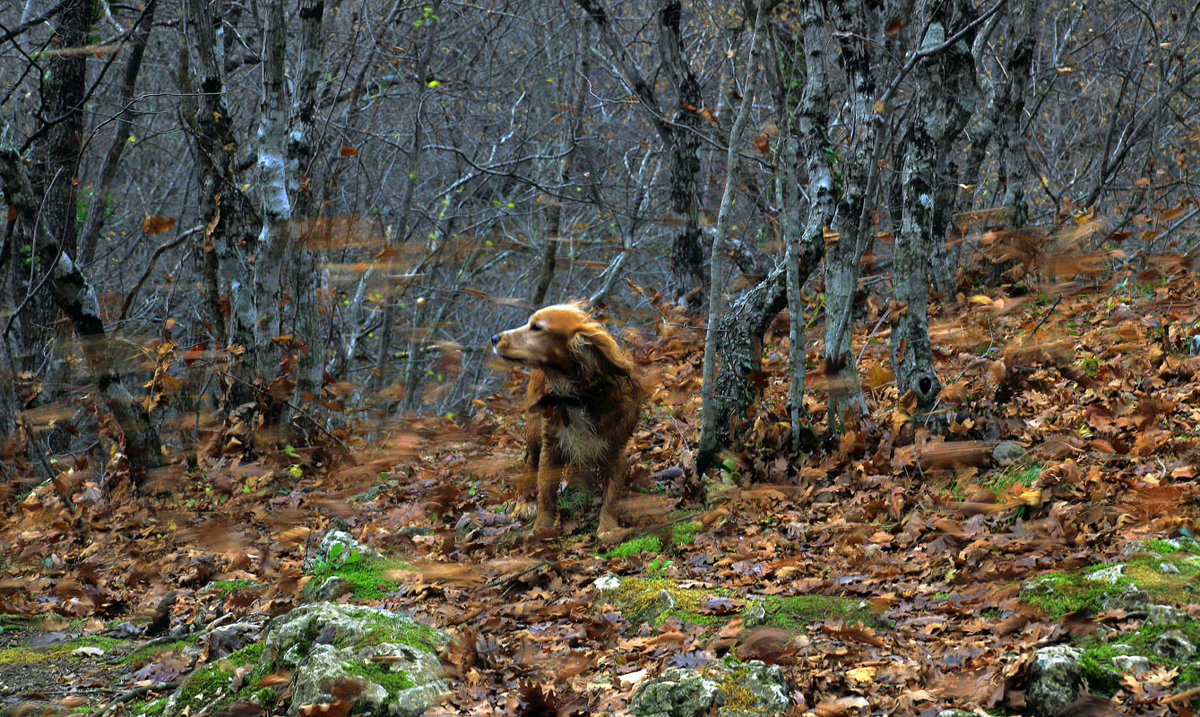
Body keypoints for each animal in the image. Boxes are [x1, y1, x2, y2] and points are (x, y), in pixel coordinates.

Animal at [492, 303, 648, 534]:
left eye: (536, 328)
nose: (494, 337)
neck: (577, 396)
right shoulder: (551, 447)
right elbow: (546, 495)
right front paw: (540, 529)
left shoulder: (616, 449)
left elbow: (611, 495)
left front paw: (608, 528)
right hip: (534, 431)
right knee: (530, 462)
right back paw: (525, 503)